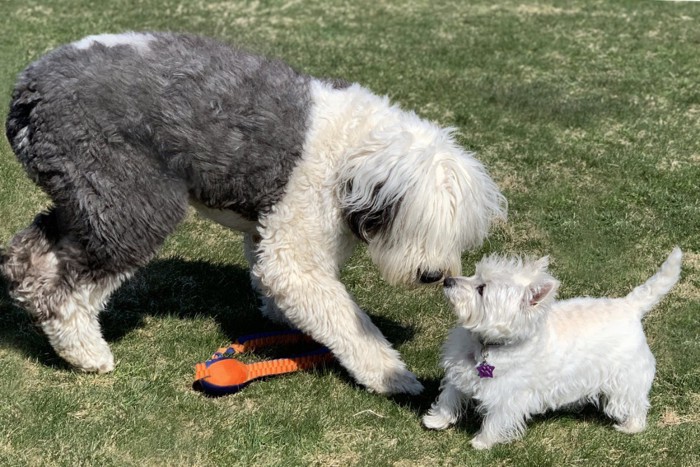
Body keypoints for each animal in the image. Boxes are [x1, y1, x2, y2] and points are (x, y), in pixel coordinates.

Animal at [0, 32, 504, 394]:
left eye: (455, 235)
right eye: (411, 224)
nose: (432, 274)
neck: (354, 151)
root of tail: (29, 87)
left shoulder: (271, 226)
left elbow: (272, 276)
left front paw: (280, 315)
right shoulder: (297, 237)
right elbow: (339, 312)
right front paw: (391, 374)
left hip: (84, 192)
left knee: (33, 254)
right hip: (129, 195)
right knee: (69, 289)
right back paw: (85, 352)